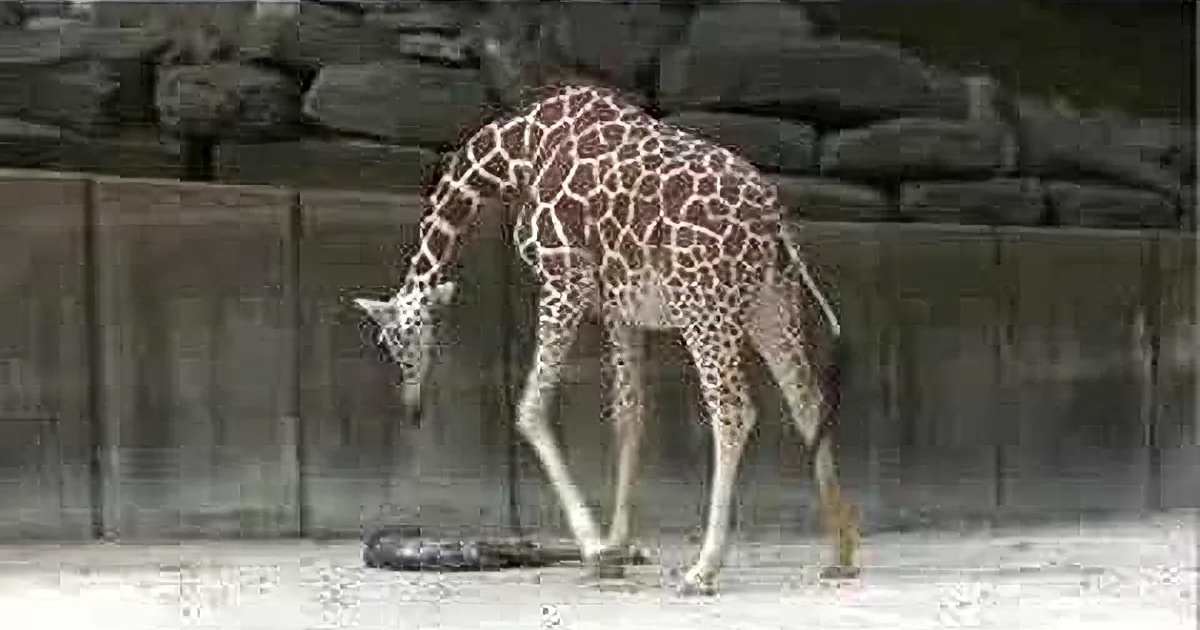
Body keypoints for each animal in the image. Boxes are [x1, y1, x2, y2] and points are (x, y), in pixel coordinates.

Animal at [353, 84, 860, 595]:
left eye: (391, 342)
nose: (412, 408)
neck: (518, 150)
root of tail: (776, 223)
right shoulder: (621, 309)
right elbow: (628, 416)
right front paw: (618, 546)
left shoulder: (564, 279)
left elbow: (530, 409)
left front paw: (596, 549)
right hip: (771, 302)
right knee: (808, 400)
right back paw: (841, 555)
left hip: (703, 305)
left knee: (734, 410)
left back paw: (703, 570)